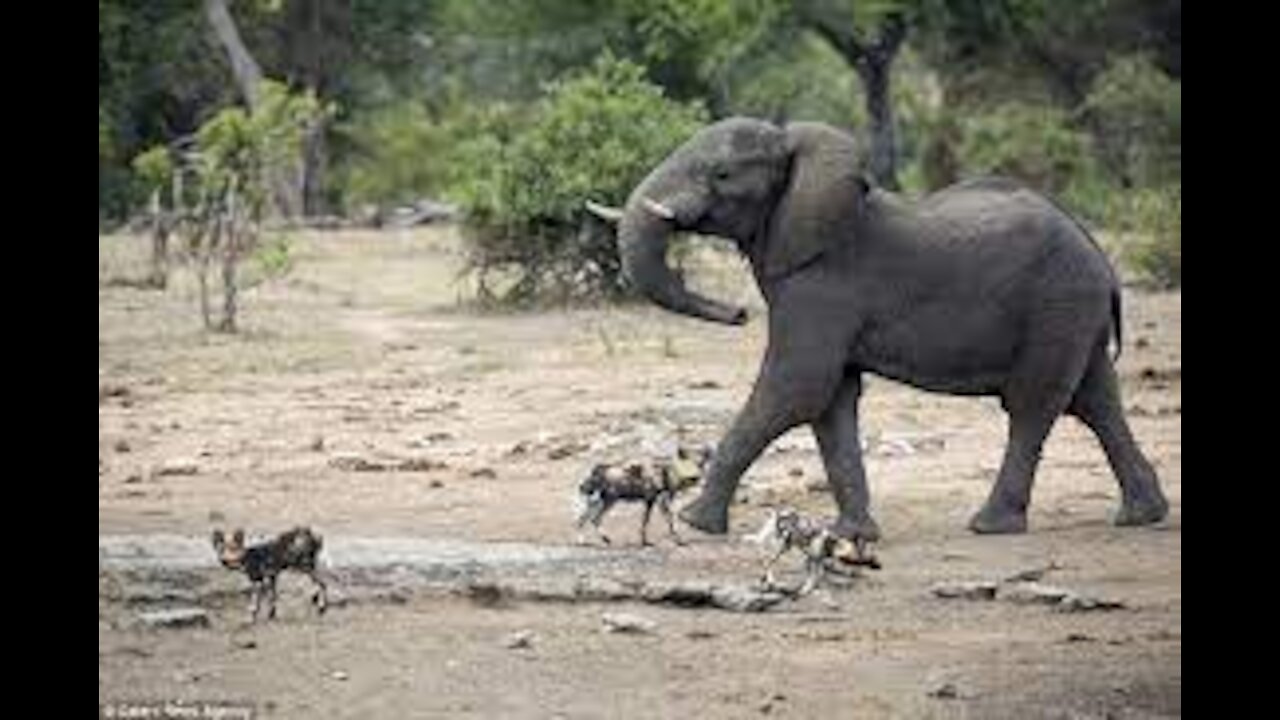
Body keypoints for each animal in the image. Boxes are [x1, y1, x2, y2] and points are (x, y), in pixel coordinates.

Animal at [591, 117, 1172, 540]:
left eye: (721, 174)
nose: (738, 315)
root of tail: (1100, 256)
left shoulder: (821, 283)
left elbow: (796, 388)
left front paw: (696, 523)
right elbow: (830, 403)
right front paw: (854, 534)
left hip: (1057, 305)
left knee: (1034, 405)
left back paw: (991, 527)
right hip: (1075, 313)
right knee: (1096, 401)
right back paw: (1142, 516)